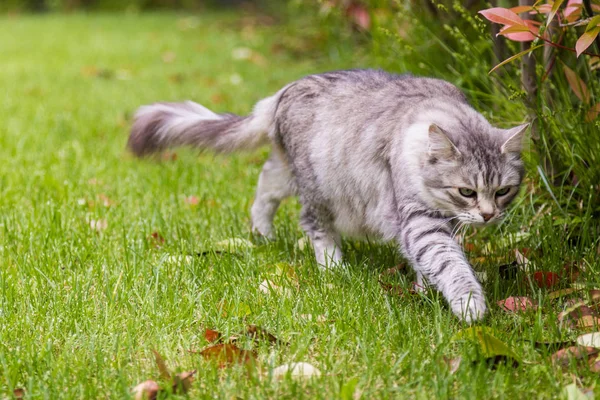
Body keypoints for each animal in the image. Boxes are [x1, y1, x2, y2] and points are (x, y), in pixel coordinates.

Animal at [129, 69, 528, 324]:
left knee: (264, 186)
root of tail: (284, 91)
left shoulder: (430, 223)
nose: (489, 215)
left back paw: (262, 234)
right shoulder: (419, 220)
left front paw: (424, 289)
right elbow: (447, 262)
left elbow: (427, 263)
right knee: (311, 223)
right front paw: (469, 304)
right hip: (317, 186)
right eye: (466, 192)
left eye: (503, 191)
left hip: (288, 172)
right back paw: (333, 267)